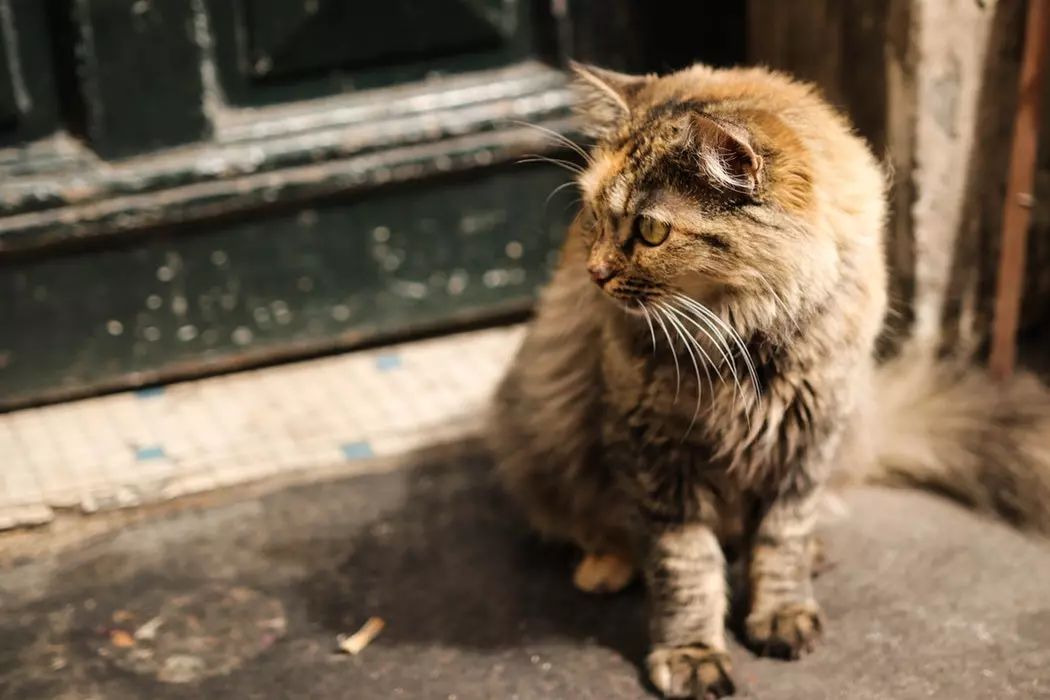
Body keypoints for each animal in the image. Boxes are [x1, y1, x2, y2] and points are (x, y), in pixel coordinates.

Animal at [487, 61, 1050, 700]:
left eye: (651, 231)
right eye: (594, 217)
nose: (596, 273)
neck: (748, 340)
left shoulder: (809, 440)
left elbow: (781, 538)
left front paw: (780, 612)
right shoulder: (654, 452)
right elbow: (686, 565)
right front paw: (691, 653)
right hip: (540, 417)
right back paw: (605, 565)